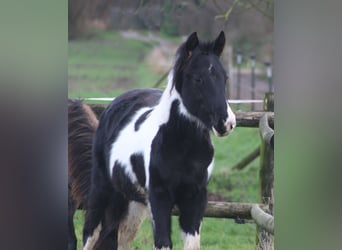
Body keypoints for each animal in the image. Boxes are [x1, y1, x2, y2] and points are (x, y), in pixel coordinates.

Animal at [82, 31, 236, 250]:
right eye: (197, 78)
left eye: (224, 77)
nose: (227, 123)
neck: (184, 149)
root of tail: (113, 105)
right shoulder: (159, 198)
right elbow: (163, 243)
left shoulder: (195, 199)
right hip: (101, 190)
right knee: (90, 233)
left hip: (133, 202)